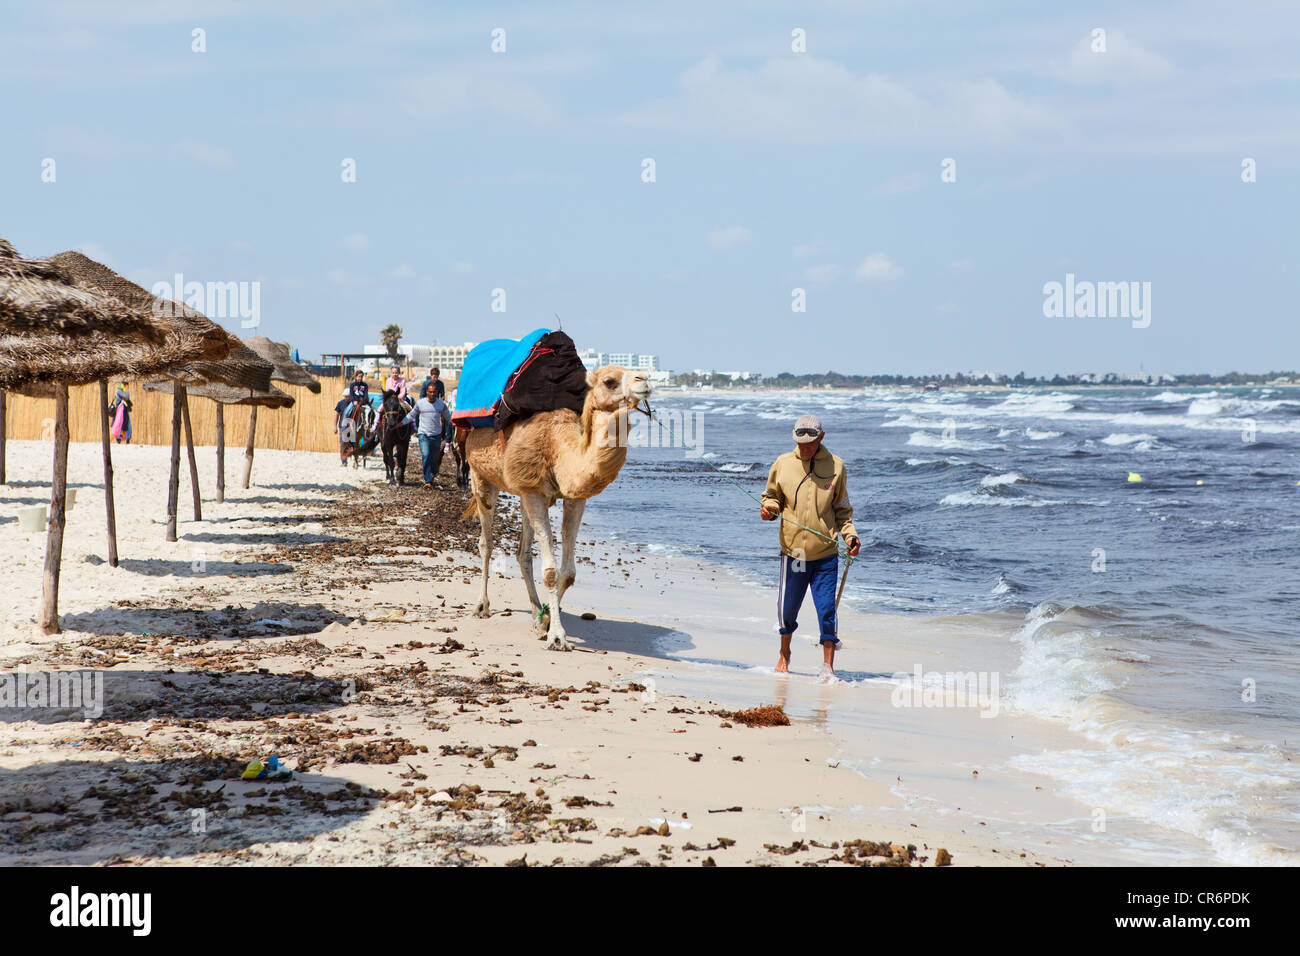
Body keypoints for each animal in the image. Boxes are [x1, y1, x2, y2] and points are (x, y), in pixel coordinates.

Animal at [465, 364, 650, 650]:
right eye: (609, 381)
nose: (645, 380)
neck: (559, 449)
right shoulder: (533, 490)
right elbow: (551, 572)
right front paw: (557, 636)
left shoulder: (571, 496)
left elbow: (569, 573)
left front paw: (545, 621)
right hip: (481, 475)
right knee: (486, 542)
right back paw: (482, 606)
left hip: (521, 493)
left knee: (523, 551)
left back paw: (534, 610)